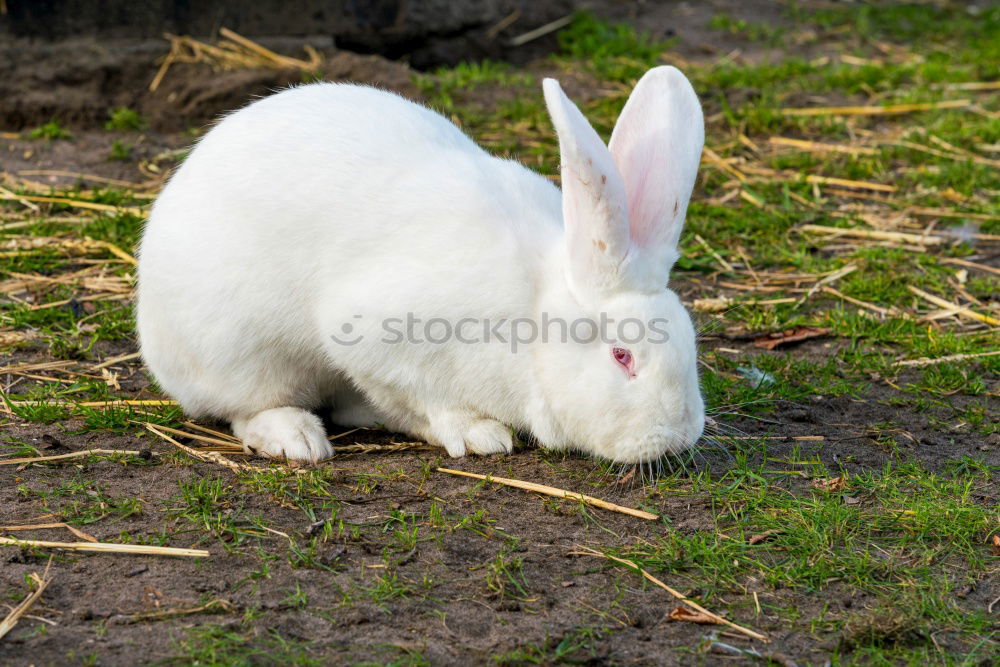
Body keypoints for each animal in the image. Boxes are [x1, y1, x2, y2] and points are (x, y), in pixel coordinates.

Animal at [137, 68, 708, 464]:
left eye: (688, 340)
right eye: (621, 356)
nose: (679, 437)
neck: (534, 313)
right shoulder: (381, 340)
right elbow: (429, 399)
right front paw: (479, 435)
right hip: (240, 354)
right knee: (245, 410)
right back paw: (296, 438)